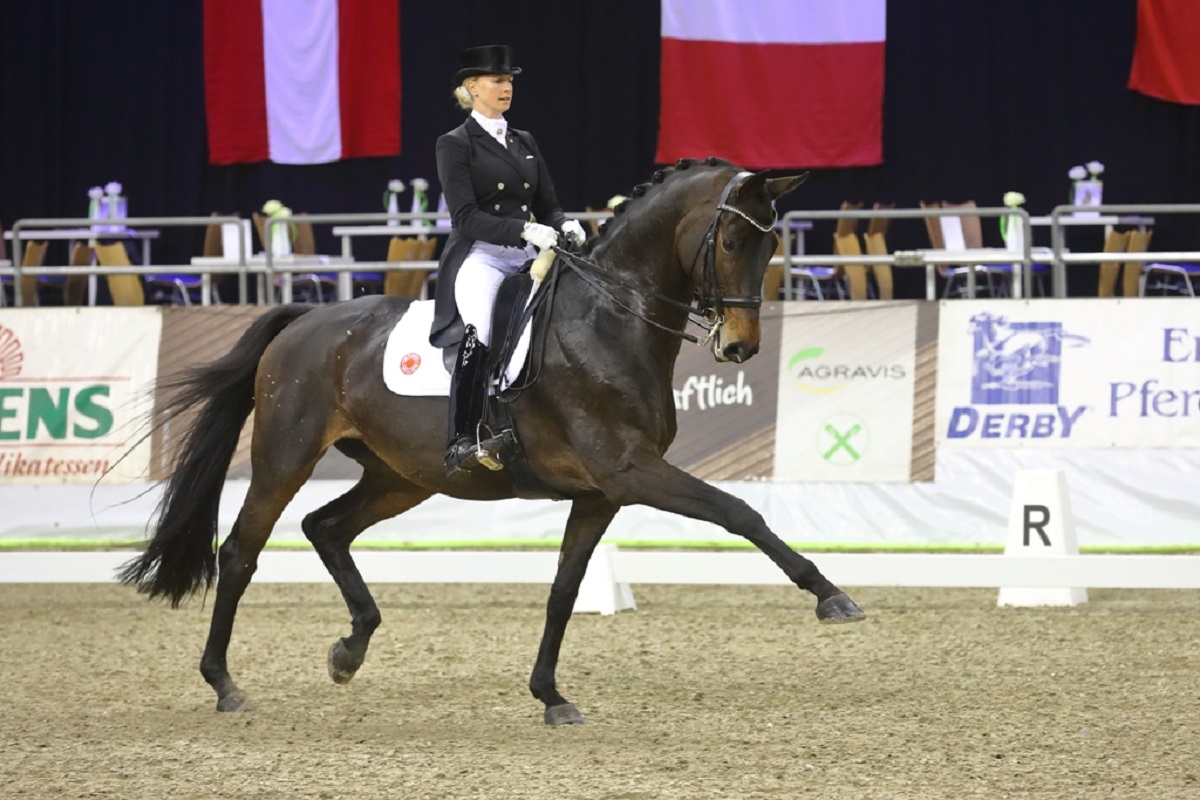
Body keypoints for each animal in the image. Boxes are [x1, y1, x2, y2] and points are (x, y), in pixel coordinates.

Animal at [121, 155, 868, 724]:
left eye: (773, 246)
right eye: (732, 243)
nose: (740, 348)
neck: (611, 319)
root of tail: (304, 321)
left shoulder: (600, 494)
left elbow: (565, 589)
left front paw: (551, 696)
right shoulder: (630, 470)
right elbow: (739, 512)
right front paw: (831, 595)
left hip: (402, 476)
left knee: (325, 527)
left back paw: (349, 651)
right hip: (287, 453)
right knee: (241, 551)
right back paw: (224, 684)